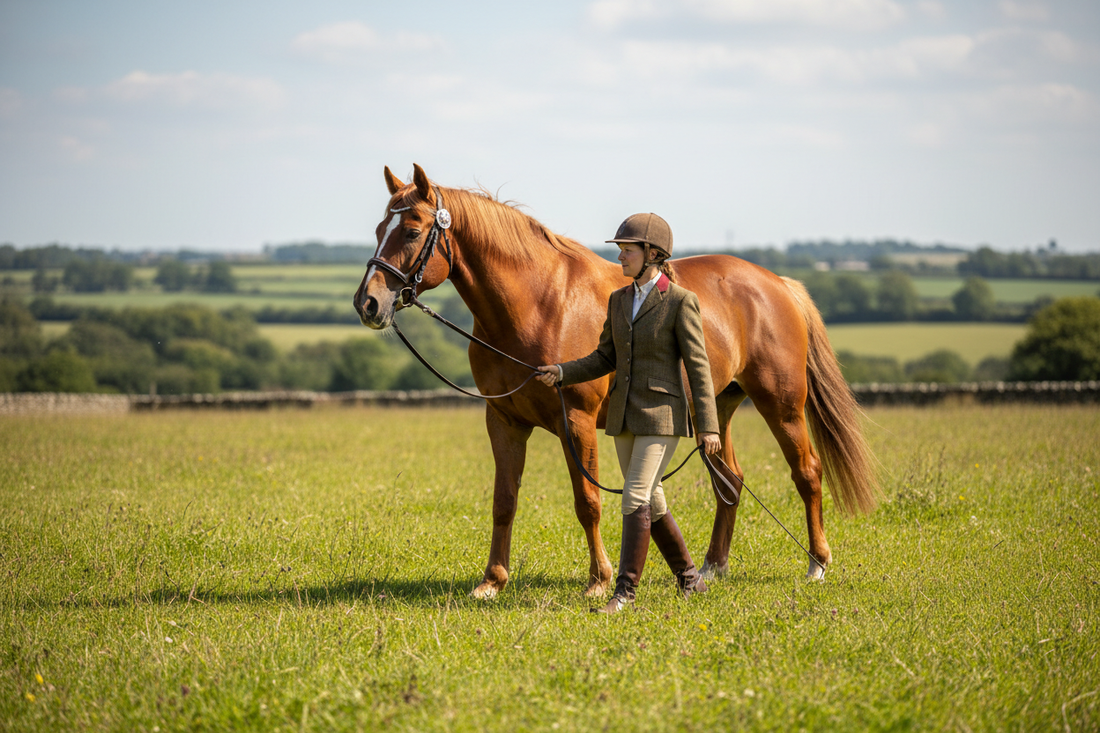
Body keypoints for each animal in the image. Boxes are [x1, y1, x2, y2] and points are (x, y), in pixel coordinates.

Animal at [354, 163, 880, 599]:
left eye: (412, 230)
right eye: (379, 229)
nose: (368, 303)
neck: (538, 304)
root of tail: (777, 283)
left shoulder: (578, 422)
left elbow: (587, 501)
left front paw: (598, 580)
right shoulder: (503, 420)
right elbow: (504, 501)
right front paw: (492, 582)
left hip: (781, 404)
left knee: (807, 473)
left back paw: (816, 564)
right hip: (716, 410)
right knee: (730, 481)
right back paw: (711, 568)